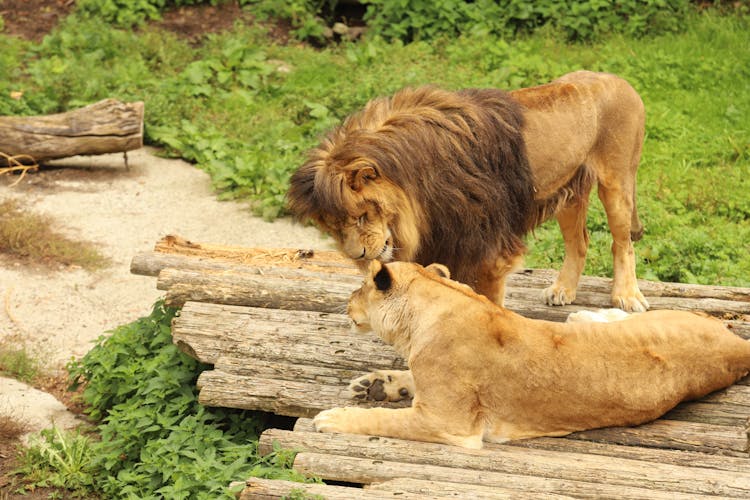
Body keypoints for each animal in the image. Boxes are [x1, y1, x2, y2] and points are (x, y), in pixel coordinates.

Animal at [288, 70, 652, 310]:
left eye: (362, 215)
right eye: (334, 227)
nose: (358, 255)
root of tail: (618, 78)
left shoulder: (488, 251)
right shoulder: (445, 244)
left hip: (617, 183)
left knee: (622, 244)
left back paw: (626, 295)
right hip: (568, 191)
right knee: (580, 242)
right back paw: (563, 289)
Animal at [314, 262, 750, 450]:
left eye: (358, 287)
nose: (347, 302)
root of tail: (737, 346)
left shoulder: (449, 425)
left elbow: (383, 420)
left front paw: (333, 417)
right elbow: (407, 381)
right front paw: (376, 384)